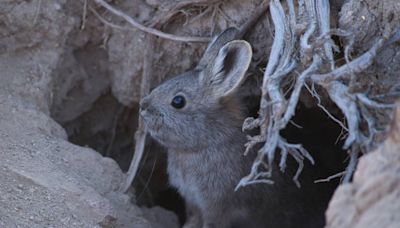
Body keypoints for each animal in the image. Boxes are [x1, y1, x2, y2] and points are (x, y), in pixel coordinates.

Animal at [141, 29, 332, 228]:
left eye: (178, 101)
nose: (143, 107)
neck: (206, 142)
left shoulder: (217, 206)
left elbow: (211, 222)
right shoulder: (192, 201)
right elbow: (193, 218)